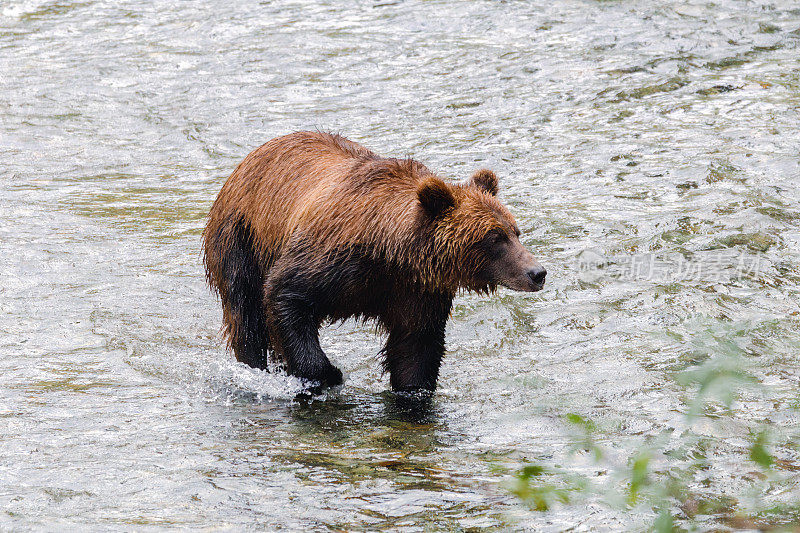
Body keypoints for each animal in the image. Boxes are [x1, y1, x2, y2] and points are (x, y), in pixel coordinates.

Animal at [203, 132, 548, 390]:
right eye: (495, 237)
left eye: (516, 231)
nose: (537, 272)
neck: (391, 251)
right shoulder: (331, 259)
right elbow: (285, 295)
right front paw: (327, 373)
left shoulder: (416, 291)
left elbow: (415, 347)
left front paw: (412, 392)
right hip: (240, 238)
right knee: (246, 313)